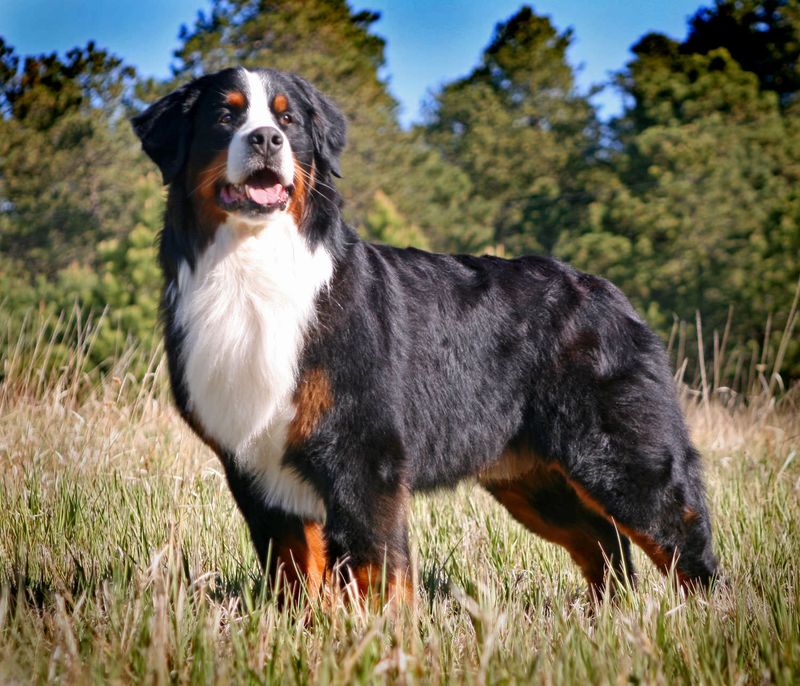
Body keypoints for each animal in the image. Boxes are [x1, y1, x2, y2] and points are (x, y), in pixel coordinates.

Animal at [131, 67, 720, 604]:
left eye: (287, 120)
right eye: (225, 116)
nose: (265, 140)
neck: (252, 267)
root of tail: (607, 290)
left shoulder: (364, 455)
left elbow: (376, 567)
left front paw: (380, 633)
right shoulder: (256, 465)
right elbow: (295, 573)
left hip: (623, 457)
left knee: (682, 540)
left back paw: (704, 618)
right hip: (531, 477)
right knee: (603, 545)